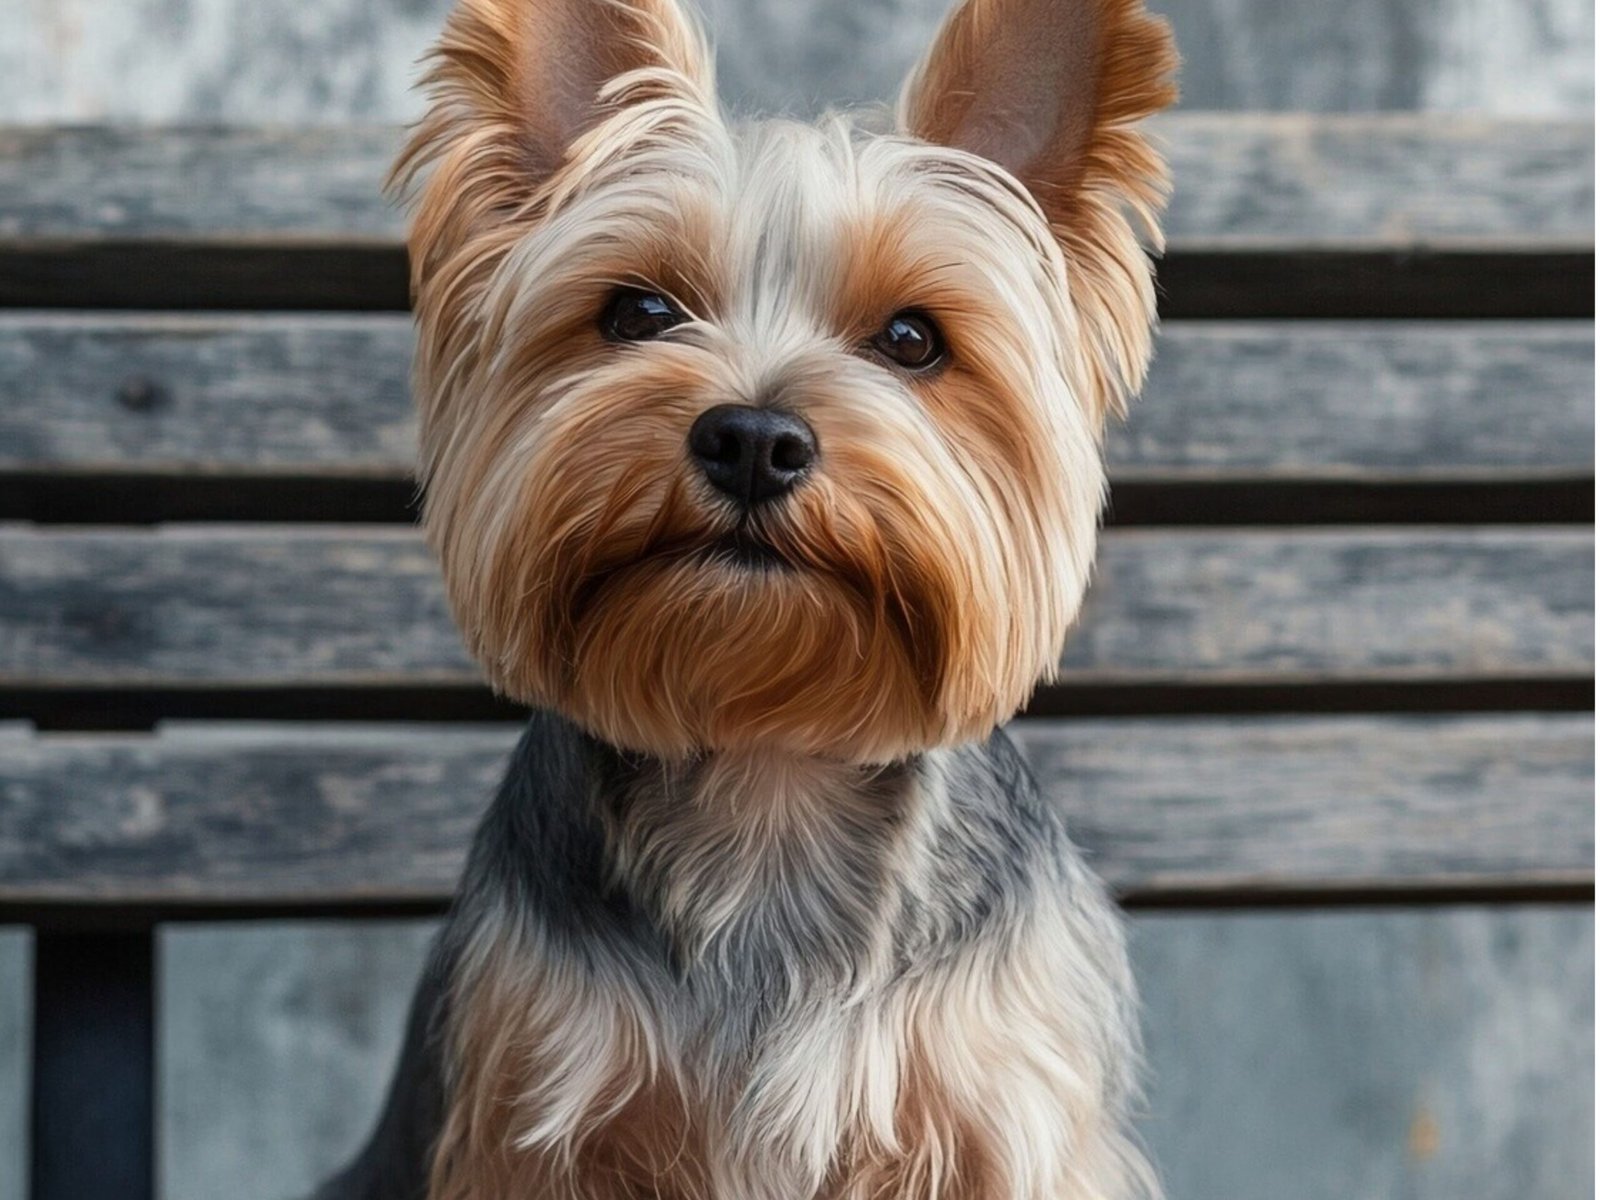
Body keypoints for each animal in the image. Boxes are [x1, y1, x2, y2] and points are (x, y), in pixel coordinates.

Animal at [321, 2, 1177, 1196]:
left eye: (912, 339)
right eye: (637, 312)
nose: (753, 439)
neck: (769, 771)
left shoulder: (1004, 1115)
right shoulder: (528, 1112)